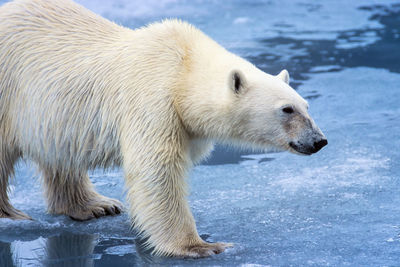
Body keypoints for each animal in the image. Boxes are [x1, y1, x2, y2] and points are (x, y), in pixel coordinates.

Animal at [0, 0, 324, 258]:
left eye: (306, 105)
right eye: (287, 109)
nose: (318, 140)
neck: (183, 70)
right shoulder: (153, 98)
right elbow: (157, 170)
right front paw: (201, 246)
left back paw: (95, 206)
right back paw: (12, 215)